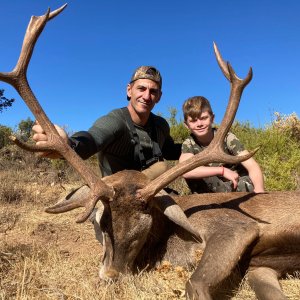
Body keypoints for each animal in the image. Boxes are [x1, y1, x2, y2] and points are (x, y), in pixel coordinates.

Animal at [1, 4, 298, 300]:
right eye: (103, 225)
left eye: (140, 233)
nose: (110, 276)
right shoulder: (259, 267)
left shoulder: (235, 226)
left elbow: (195, 283)